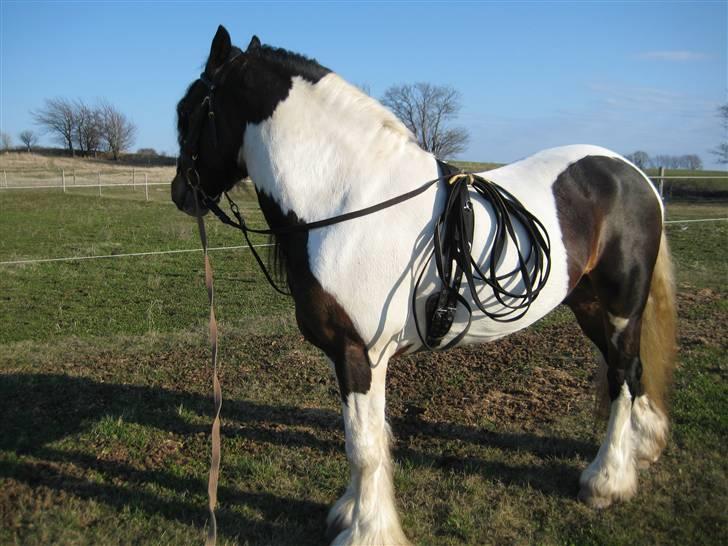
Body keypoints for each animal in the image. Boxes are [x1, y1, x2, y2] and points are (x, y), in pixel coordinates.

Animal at [171, 25, 676, 544]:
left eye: (187, 111)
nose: (181, 192)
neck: (345, 200)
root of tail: (633, 174)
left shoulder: (360, 351)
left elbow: (364, 446)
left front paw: (368, 531)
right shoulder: (343, 353)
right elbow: (364, 436)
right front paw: (350, 512)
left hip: (621, 308)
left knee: (623, 375)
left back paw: (608, 480)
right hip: (589, 305)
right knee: (627, 373)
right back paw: (643, 447)